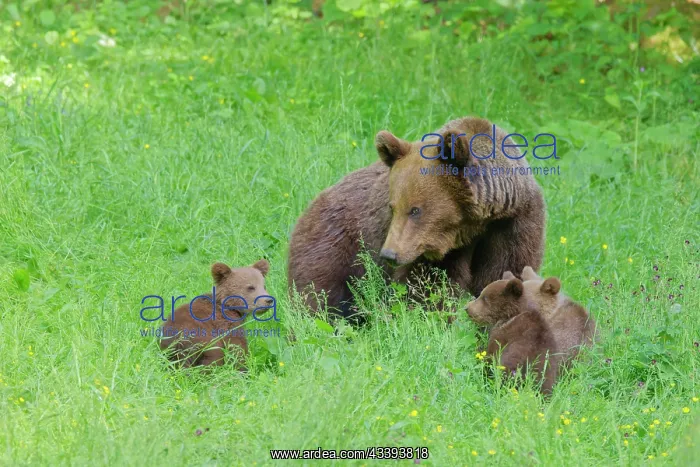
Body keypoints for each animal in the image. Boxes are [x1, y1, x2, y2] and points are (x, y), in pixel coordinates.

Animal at [287, 116, 546, 321]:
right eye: (393, 207)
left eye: (415, 210)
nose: (389, 254)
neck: (474, 224)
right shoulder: (430, 248)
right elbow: (427, 288)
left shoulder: (512, 225)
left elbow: (504, 271)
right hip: (336, 245)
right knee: (317, 293)